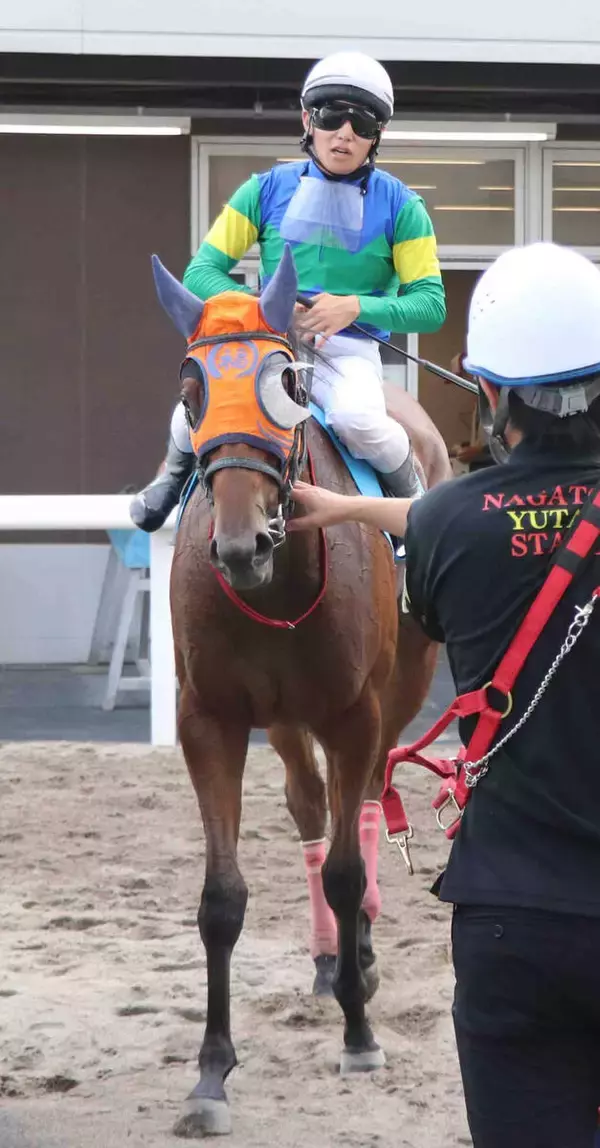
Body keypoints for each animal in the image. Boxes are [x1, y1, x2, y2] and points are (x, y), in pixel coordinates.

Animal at [149, 246, 450, 1137]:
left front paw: (359, 1033)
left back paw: (361, 955)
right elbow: (222, 897)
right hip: (283, 720)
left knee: (369, 803)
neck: (278, 581)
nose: (240, 545)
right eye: (192, 392)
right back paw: (328, 959)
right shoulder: (210, 719)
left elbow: (351, 869)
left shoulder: (354, 713)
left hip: (398, 689)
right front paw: (211, 1074)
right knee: (311, 806)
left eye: (286, 381)